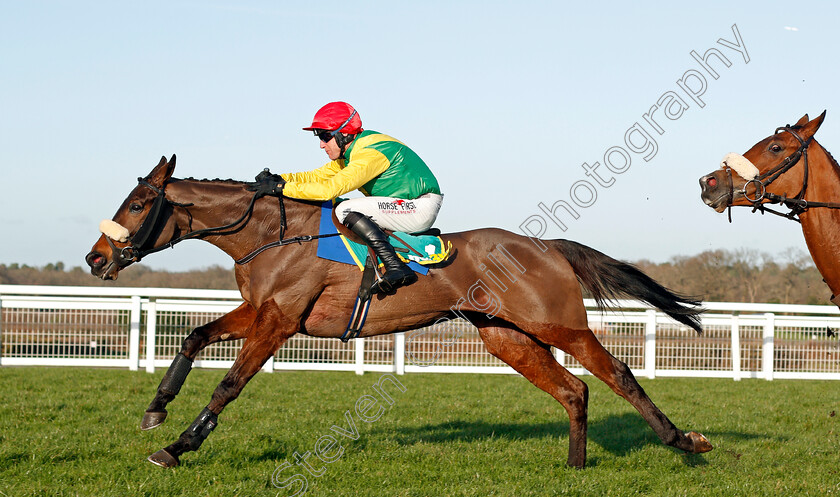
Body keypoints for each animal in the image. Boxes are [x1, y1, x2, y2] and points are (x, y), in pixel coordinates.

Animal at [87, 156, 716, 468]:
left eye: (139, 204)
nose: (96, 258)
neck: (273, 236)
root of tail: (547, 246)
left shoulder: (280, 321)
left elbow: (229, 385)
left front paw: (178, 447)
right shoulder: (259, 310)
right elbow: (193, 337)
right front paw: (156, 409)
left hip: (558, 323)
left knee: (619, 375)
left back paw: (684, 442)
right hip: (505, 336)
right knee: (573, 389)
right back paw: (576, 466)